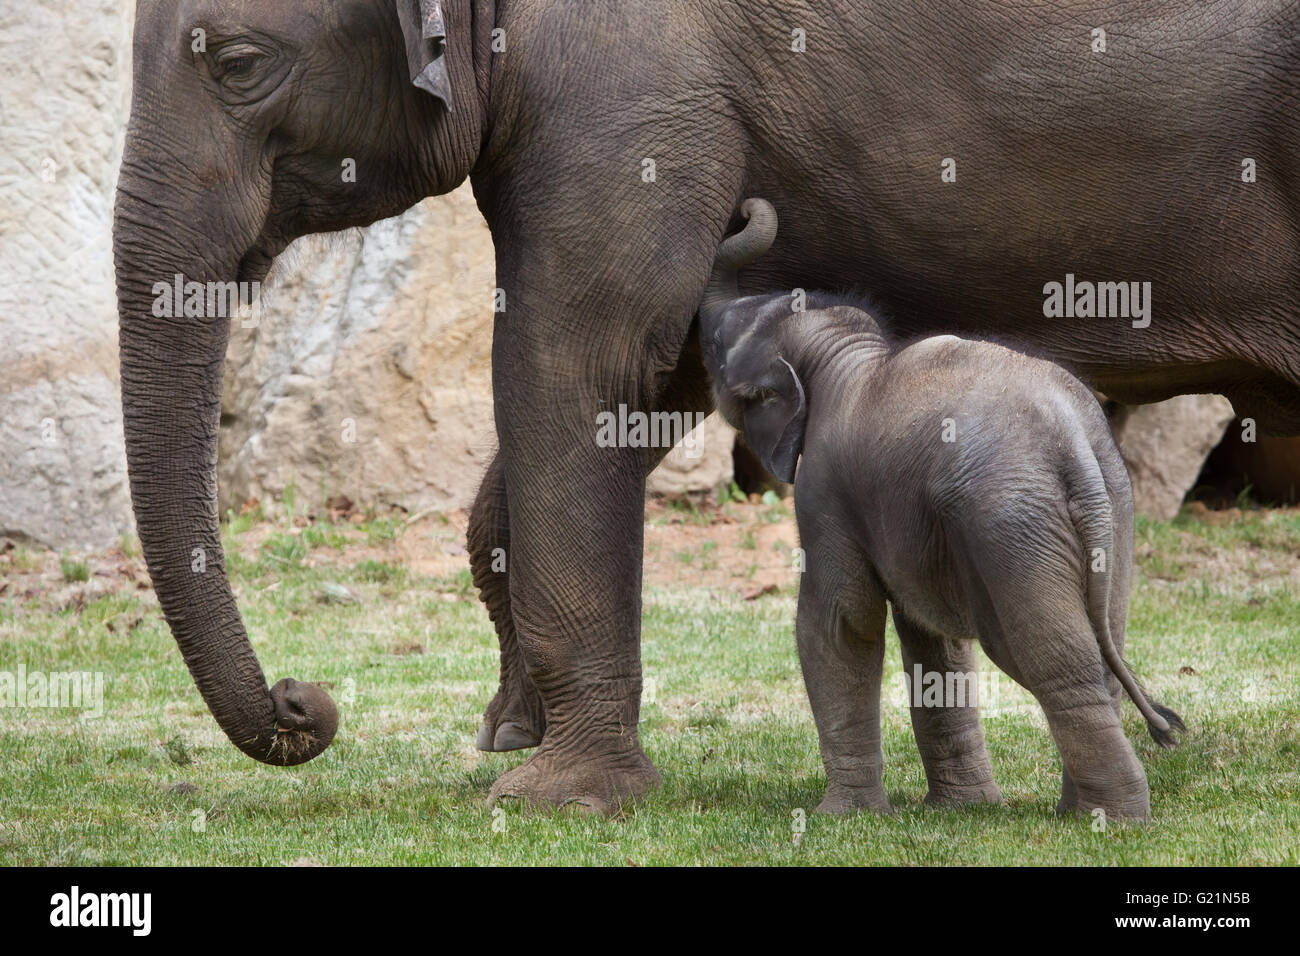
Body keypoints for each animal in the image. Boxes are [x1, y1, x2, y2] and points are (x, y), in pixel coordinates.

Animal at [702, 197, 1190, 816]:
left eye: (715, 348)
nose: (747, 207)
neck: (847, 355)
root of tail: (1071, 438)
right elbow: (934, 641)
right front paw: (961, 810)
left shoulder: (823, 492)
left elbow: (842, 623)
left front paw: (842, 818)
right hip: (1114, 513)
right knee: (1104, 650)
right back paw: (1078, 814)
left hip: (1010, 519)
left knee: (1055, 661)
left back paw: (1115, 821)